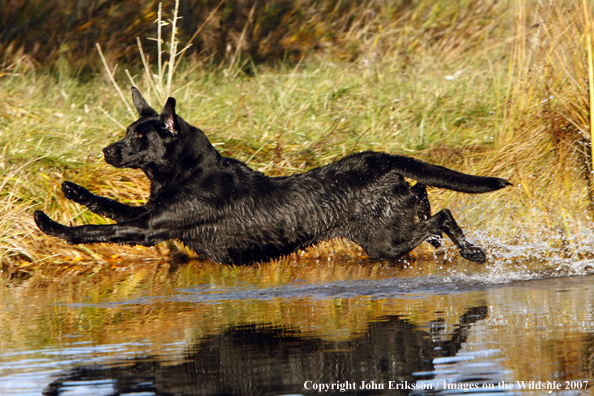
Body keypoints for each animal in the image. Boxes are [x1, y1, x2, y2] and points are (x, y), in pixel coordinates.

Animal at [33, 88, 508, 264]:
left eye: (136, 137)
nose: (106, 150)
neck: (185, 172)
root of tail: (381, 160)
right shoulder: (151, 214)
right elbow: (107, 204)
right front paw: (72, 188)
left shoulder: (151, 227)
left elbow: (99, 229)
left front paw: (51, 225)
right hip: (392, 221)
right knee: (423, 194)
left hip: (382, 240)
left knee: (442, 212)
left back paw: (471, 250)